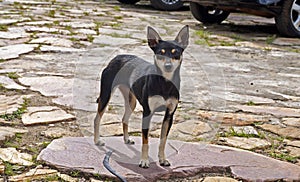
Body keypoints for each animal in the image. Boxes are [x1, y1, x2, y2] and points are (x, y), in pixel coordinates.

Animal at [94, 24, 189, 168]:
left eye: (175, 53)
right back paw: (97, 140)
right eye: (160, 53)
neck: (165, 82)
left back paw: (127, 139)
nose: (168, 66)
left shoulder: (169, 115)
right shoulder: (147, 113)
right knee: (97, 118)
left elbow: (163, 141)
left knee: (124, 119)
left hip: (131, 102)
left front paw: (162, 159)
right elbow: (145, 141)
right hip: (106, 96)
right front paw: (144, 161)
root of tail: (116, 57)